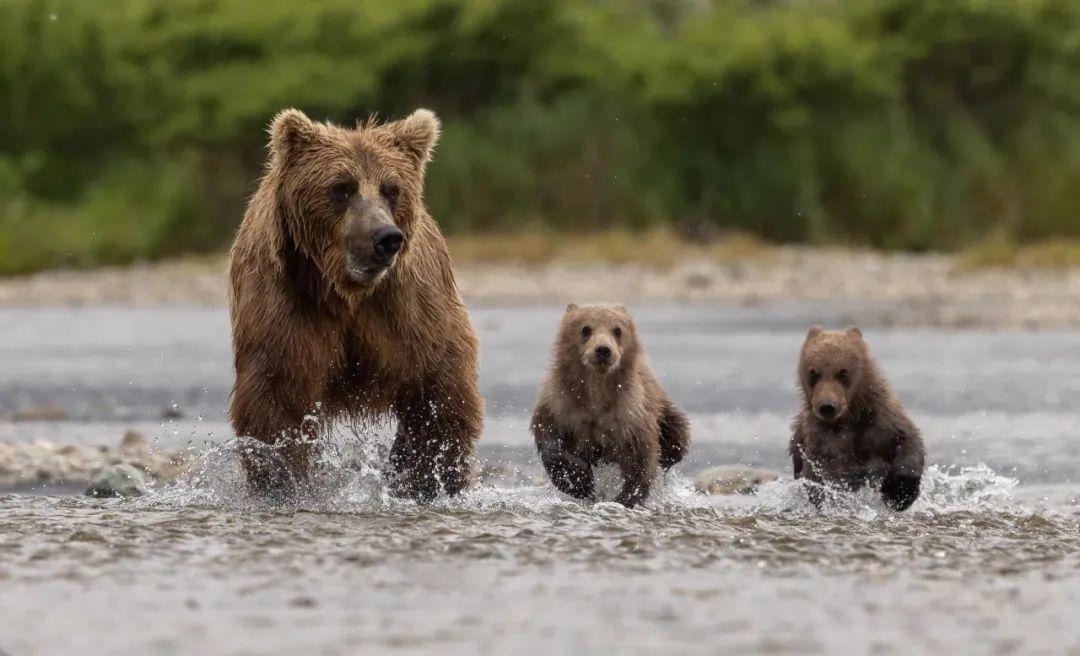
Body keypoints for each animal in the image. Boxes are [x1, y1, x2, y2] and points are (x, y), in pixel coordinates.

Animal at [227, 107, 483, 502]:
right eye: (342, 187)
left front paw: (428, 477)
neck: (346, 292)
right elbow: (276, 400)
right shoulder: (286, 308)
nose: (386, 238)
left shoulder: (408, 308)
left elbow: (440, 389)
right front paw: (281, 481)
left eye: (392, 188)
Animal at [530, 303, 690, 507]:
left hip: (663, 409)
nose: (603, 350)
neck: (596, 392)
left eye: (617, 330)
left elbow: (641, 458)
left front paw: (626, 497)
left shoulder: (629, 415)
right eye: (585, 329)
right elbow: (551, 442)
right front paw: (580, 481)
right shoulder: (561, 406)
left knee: (676, 440)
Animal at [789, 326, 925, 511]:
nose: (827, 406)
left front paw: (898, 492)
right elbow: (818, 476)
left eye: (843, 371)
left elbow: (907, 441)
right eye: (813, 372)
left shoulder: (880, 422)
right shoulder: (822, 442)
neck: (849, 418)